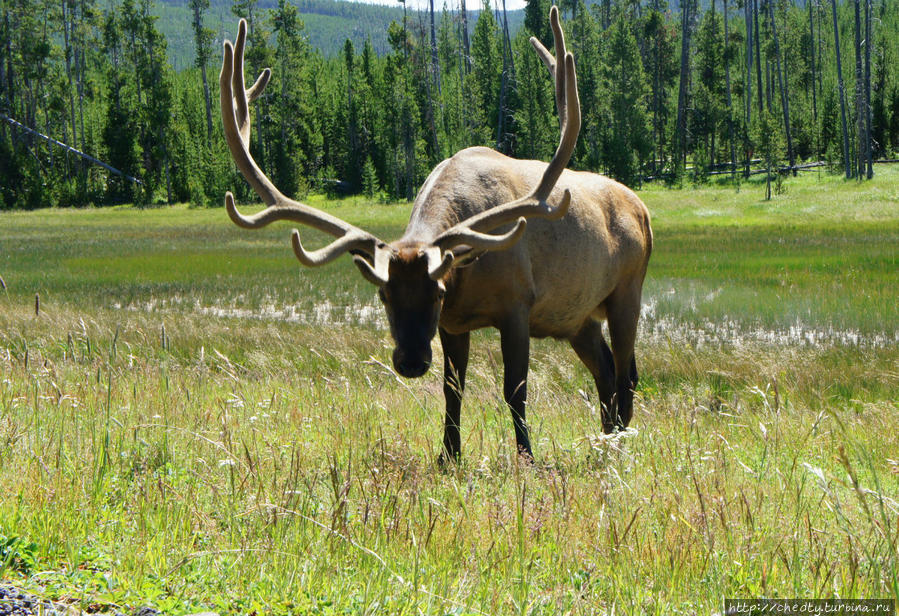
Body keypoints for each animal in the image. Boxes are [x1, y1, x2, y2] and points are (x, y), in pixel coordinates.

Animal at [220, 8, 652, 462]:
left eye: (437, 291)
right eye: (383, 293)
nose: (410, 361)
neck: (468, 273)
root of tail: (642, 209)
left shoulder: (517, 304)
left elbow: (515, 390)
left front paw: (526, 456)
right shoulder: (454, 324)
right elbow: (452, 391)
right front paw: (448, 456)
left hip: (627, 291)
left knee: (626, 373)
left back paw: (621, 442)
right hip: (577, 317)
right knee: (606, 370)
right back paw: (606, 439)